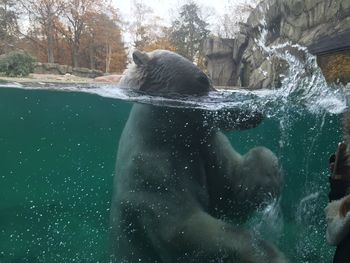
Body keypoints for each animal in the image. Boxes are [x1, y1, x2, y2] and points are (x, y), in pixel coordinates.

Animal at [110, 50, 288, 263]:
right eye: (202, 80)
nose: (256, 112)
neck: (164, 134)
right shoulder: (152, 174)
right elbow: (182, 228)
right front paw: (270, 254)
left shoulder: (205, 146)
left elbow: (230, 190)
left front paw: (268, 184)